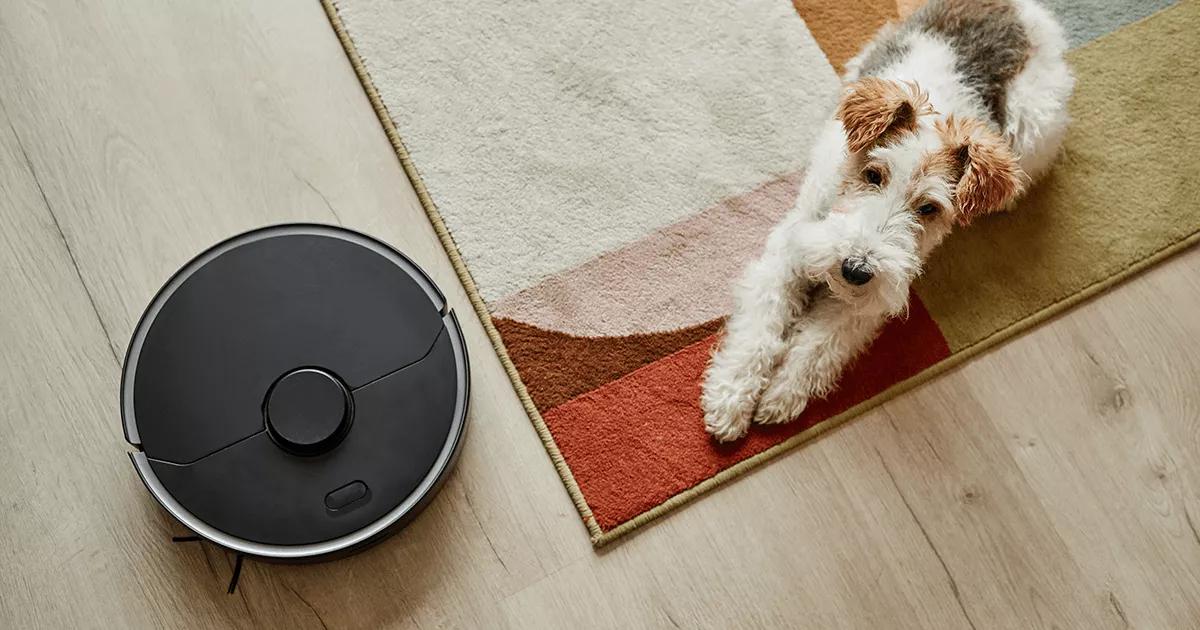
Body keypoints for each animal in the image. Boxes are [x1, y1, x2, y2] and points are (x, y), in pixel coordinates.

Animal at [700, 0, 1075, 441]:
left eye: (929, 209)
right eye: (873, 174)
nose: (855, 269)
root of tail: (1016, 7)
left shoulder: (868, 297)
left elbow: (818, 344)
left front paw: (782, 395)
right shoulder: (787, 255)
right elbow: (759, 330)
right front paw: (729, 400)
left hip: (1032, 125)